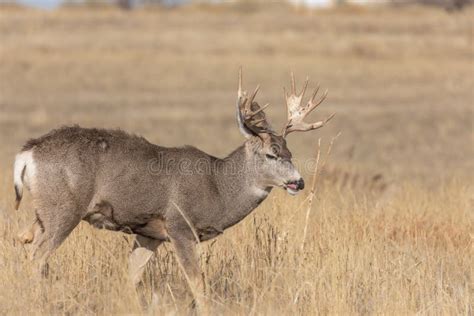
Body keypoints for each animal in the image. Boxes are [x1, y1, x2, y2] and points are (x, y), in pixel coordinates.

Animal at [13, 69, 334, 306]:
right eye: (271, 154)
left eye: (290, 153)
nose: (298, 182)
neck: (218, 188)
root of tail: (28, 153)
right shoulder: (180, 225)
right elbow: (198, 284)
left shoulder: (149, 233)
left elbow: (131, 277)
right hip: (64, 208)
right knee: (37, 256)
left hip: (44, 211)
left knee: (26, 241)